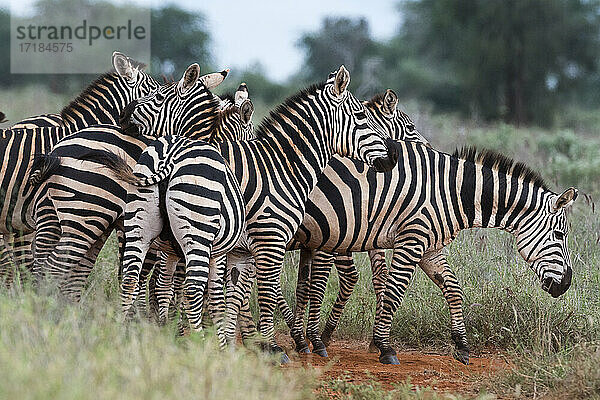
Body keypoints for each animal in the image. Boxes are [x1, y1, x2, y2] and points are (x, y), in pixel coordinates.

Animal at [122, 65, 400, 360]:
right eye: (361, 116)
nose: (393, 156)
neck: (281, 167)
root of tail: (172, 154)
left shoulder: (237, 251)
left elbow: (233, 296)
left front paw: (229, 343)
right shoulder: (270, 241)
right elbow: (265, 294)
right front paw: (270, 347)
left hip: (141, 232)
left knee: (131, 281)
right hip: (196, 238)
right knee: (190, 290)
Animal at [288, 142, 580, 364]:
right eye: (559, 235)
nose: (566, 284)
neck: (450, 194)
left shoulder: (430, 248)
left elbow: (453, 289)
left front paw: (461, 346)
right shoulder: (412, 239)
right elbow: (394, 293)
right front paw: (384, 347)